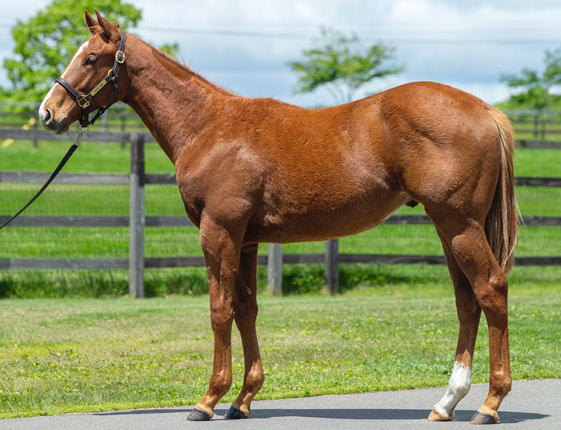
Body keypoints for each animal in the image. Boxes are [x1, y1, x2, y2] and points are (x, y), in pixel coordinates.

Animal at [40, 9, 516, 424]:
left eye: (91, 58)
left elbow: (220, 309)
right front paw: (242, 399)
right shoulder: (247, 239)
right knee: (466, 300)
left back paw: (489, 404)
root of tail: (485, 111)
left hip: (459, 225)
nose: (48, 113)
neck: (209, 127)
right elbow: (246, 308)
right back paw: (447, 402)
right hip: (448, 228)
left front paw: (209, 399)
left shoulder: (219, 232)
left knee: (490, 290)